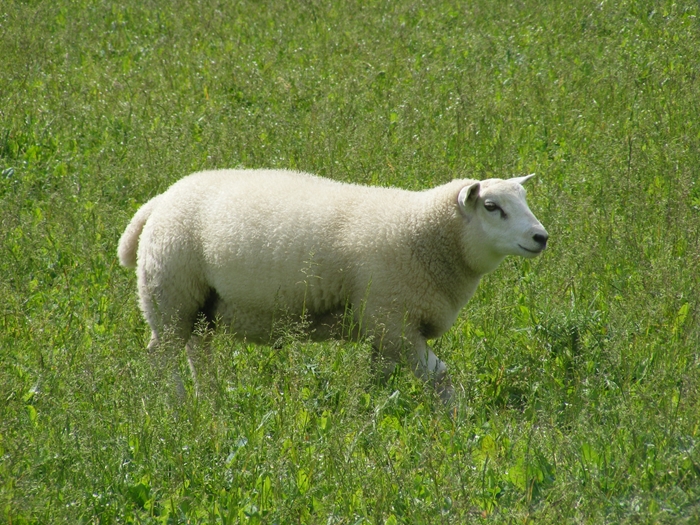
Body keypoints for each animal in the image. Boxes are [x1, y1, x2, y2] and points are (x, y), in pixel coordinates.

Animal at [118, 169, 548, 403]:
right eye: (492, 207)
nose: (541, 237)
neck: (422, 233)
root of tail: (161, 200)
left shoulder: (384, 330)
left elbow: (378, 379)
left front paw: (367, 410)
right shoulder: (393, 320)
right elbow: (440, 376)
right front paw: (459, 421)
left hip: (199, 304)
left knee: (197, 353)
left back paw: (210, 400)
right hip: (169, 294)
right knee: (162, 356)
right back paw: (178, 407)